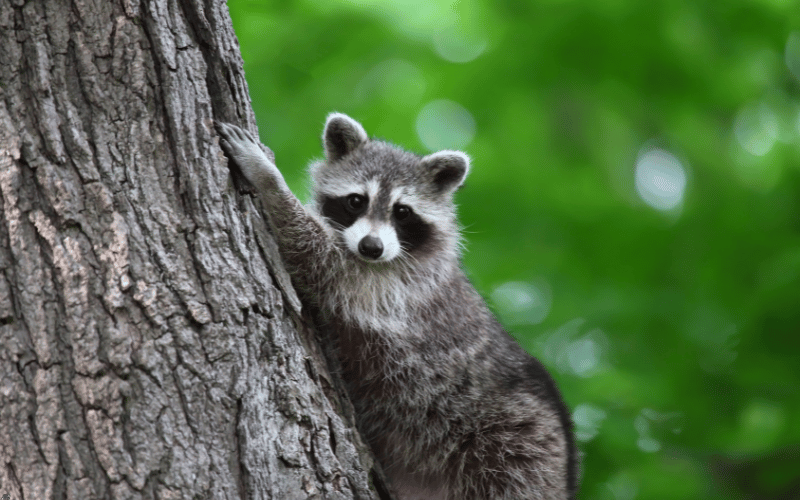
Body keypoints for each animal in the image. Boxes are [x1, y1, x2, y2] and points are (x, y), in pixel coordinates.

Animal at [216, 114, 580, 500]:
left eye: (402, 212)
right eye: (356, 201)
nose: (371, 247)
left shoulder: (395, 286)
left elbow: (316, 255)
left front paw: (268, 178)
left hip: (516, 452)